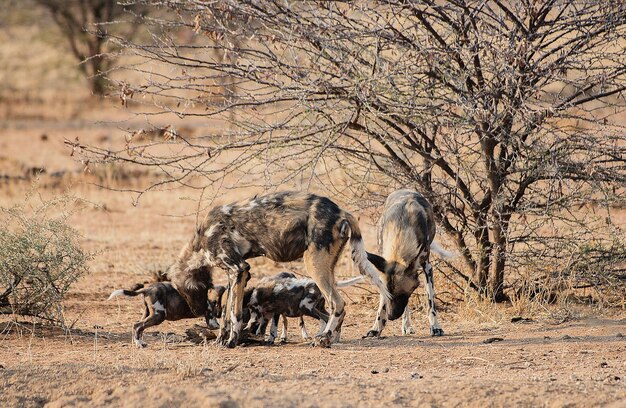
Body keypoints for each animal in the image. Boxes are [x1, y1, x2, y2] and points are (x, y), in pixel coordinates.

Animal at [166, 190, 390, 348]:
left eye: (183, 293)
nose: (196, 311)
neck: (200, 244)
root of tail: (341, 211)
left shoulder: (239, 268)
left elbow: (234, 314)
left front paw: (231, 342)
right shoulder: (236, 275)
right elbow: (227, 315)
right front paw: (221, 339)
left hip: (314, 264)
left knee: (338, 303)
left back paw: (323, 339)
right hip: (328, 267)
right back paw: (332, 338)